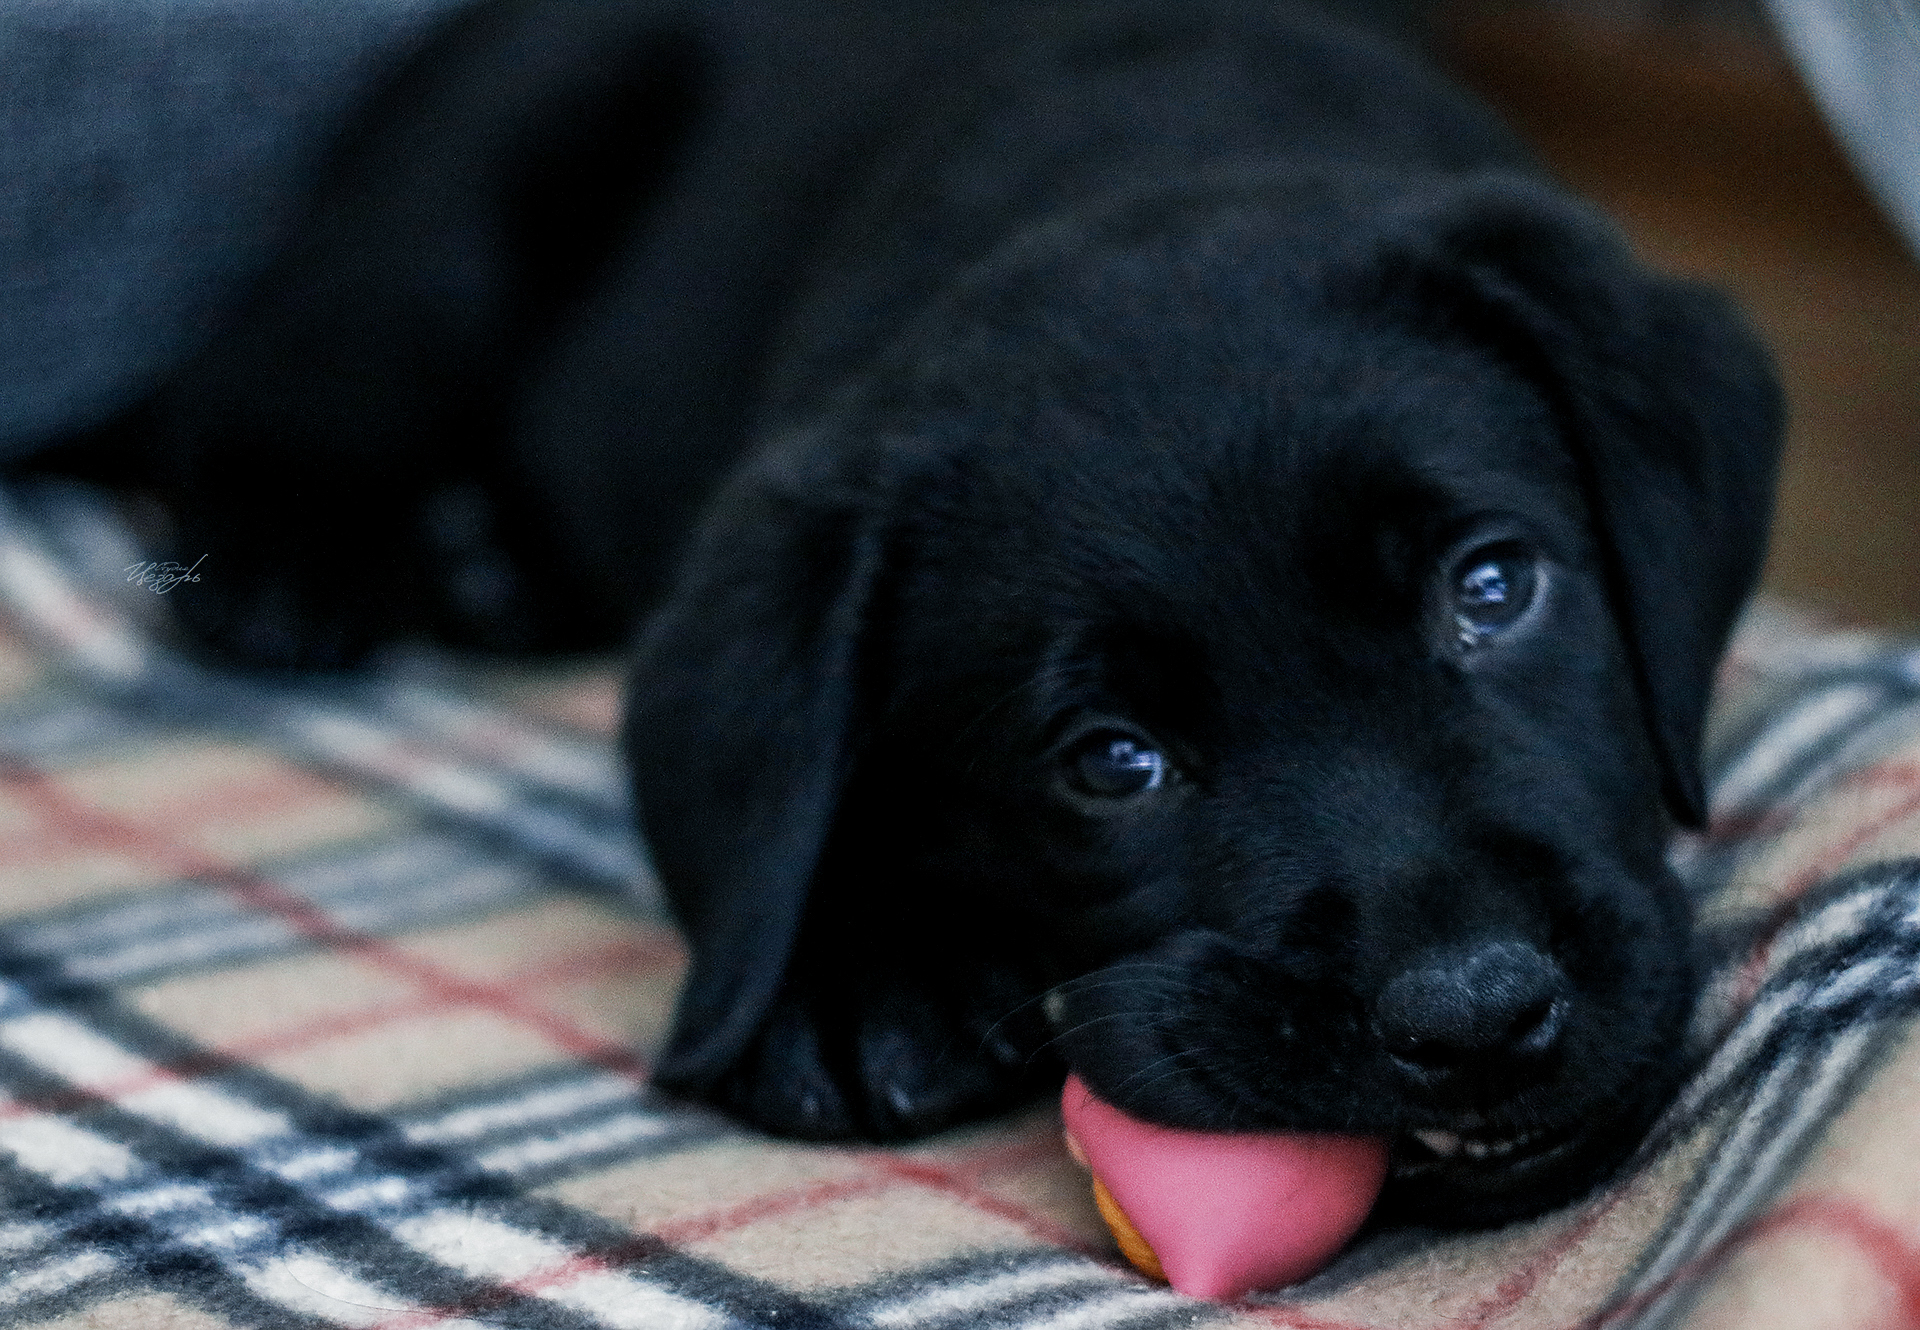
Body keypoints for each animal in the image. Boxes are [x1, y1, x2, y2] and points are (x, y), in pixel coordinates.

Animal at [37, 0, 1781, 1228]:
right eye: (1109, 760)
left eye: (1492, 588)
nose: (1474, 1013)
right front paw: (845, 982)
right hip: (461, 193)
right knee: (256, 384)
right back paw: (295, 572)